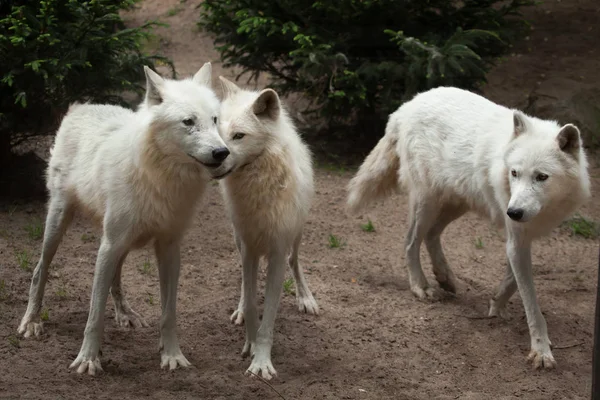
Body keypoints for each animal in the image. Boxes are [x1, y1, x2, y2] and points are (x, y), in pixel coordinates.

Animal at [16, 62, 232, 376]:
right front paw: (88, 359)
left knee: (116, 275)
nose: (222, 152)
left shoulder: (169, 249)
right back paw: (31, 321)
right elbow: (94, 315)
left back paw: (126, 313)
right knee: (39, 270)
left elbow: (168, 314)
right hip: (60, 223)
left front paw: (171, 355)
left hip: (122, 240)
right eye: (188, 122)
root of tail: (81, 106)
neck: (161, 177)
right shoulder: (109, 244)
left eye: (215, 120)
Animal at [216, 76, 318, 380]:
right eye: (216, 129)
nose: (216, 155)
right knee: (243, 285)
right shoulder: (249, 248)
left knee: (296, 261)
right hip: (238, 239)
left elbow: (270, 313)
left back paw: (306, 298)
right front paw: (250, 343)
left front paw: (262, 362)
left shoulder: (277, 254)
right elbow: (251, 302)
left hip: (296, 236)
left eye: (239, 136)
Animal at [346, 86, 592, 368]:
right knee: (410, 241)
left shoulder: (520, 237)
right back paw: (421, 286)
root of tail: (406, 106)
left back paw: (445, 278)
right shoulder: (516, 238)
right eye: (515, 173)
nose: (513, 212)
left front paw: (496, 305)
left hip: (456, 204)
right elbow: (530, 301)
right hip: (426, 201)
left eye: (542, 177)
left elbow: (512, 280)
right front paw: (541, 351)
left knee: (431, 235)